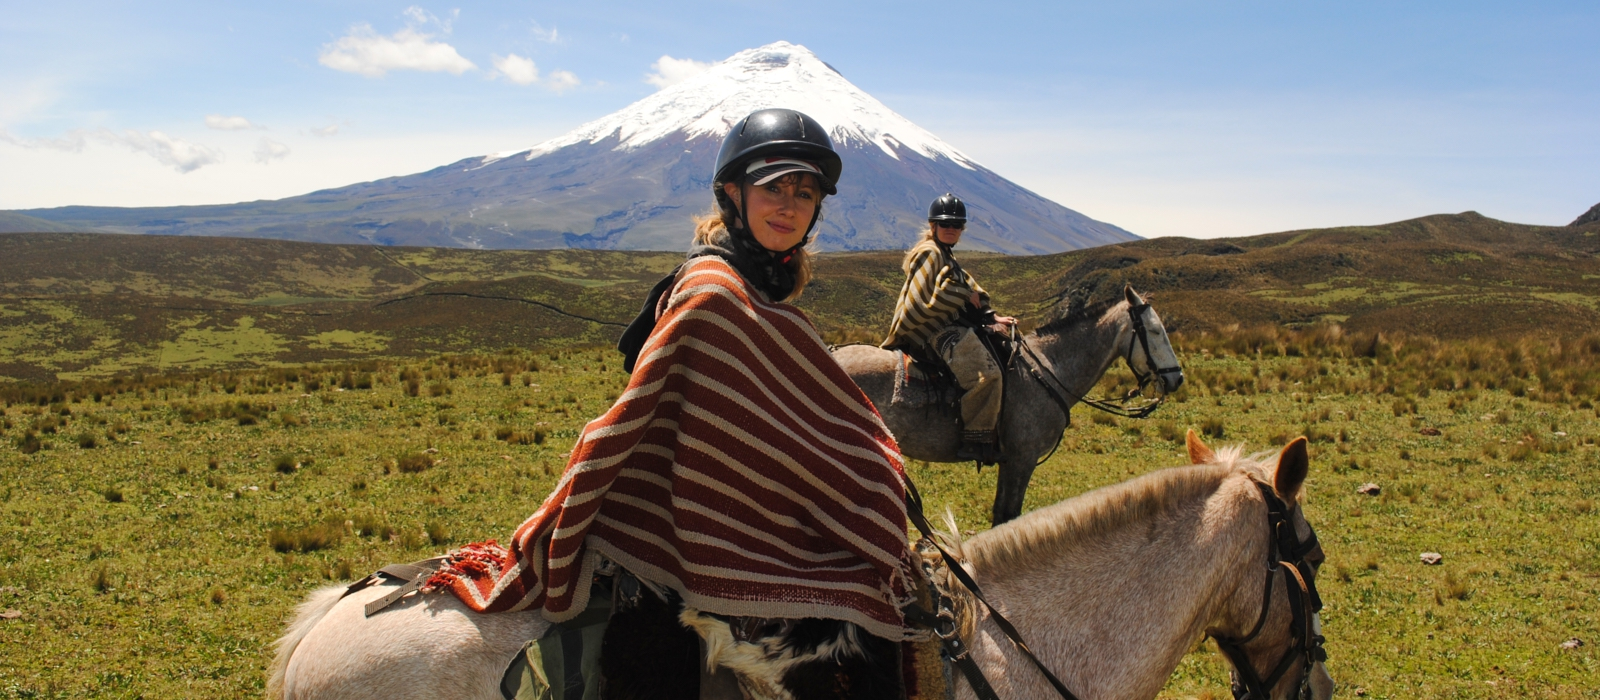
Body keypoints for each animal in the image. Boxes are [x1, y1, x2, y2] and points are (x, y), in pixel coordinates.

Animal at [832, 286, 1184, 524]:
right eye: (1155, 331)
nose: (1176, 378)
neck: (1047, 369)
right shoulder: (1021, 460)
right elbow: (1008, 514)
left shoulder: (1008, 461)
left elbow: (1000, 512)